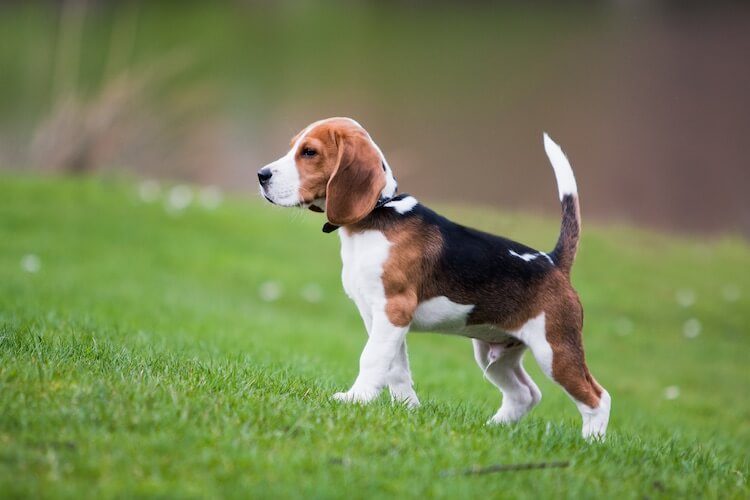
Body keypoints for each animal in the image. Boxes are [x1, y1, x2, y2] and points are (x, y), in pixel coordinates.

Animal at [258, 116, 612, 438]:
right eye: (293, 147)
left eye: (309, 152)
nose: (261, 175)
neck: (377, 214)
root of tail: (553, 261)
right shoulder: (379, 319)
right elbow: (396, 368)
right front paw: (408, 408)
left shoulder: (394, 310)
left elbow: (371, 358)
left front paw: (356, 399)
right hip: (495, 353)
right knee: (525, 394)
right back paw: (492, 429)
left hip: (555, 350)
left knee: (597, 397)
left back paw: (591, 444)